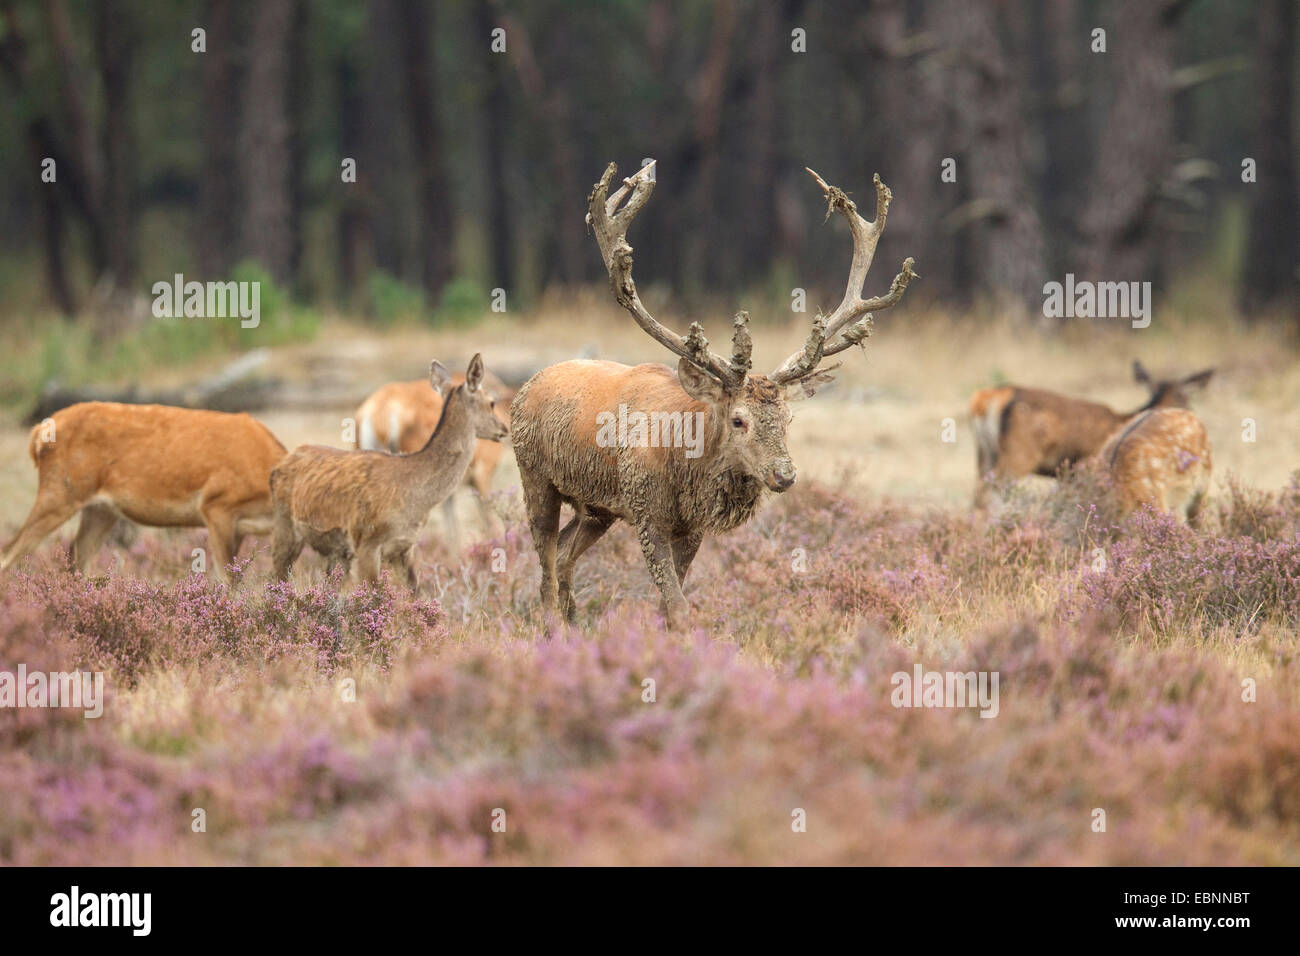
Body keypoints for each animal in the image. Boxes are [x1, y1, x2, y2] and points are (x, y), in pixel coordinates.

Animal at [0, 400, 286, 580]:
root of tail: (38, 433)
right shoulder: (217, 505)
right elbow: (229, 581)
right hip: (60, 492)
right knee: (9, 552)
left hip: (101, 509)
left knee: (76, 555)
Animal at [512, 160, 920, 632]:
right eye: (739, 419)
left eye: (788, 419)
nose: (784, 474)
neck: (686, 461)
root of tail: (527, 386)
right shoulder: (645, 510)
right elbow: (677, 605)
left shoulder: (691, 526)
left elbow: (670, 604)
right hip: (536, 476)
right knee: (545, 559)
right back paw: (552, 626)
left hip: (597, 508)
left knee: (563, 554)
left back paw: (574, 620)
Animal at [972, 361, 1211, 512]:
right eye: (1186, 398)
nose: (1190, 415)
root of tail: (990, 398)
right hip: (1019, 454)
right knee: (988, 495)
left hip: (984, 456)